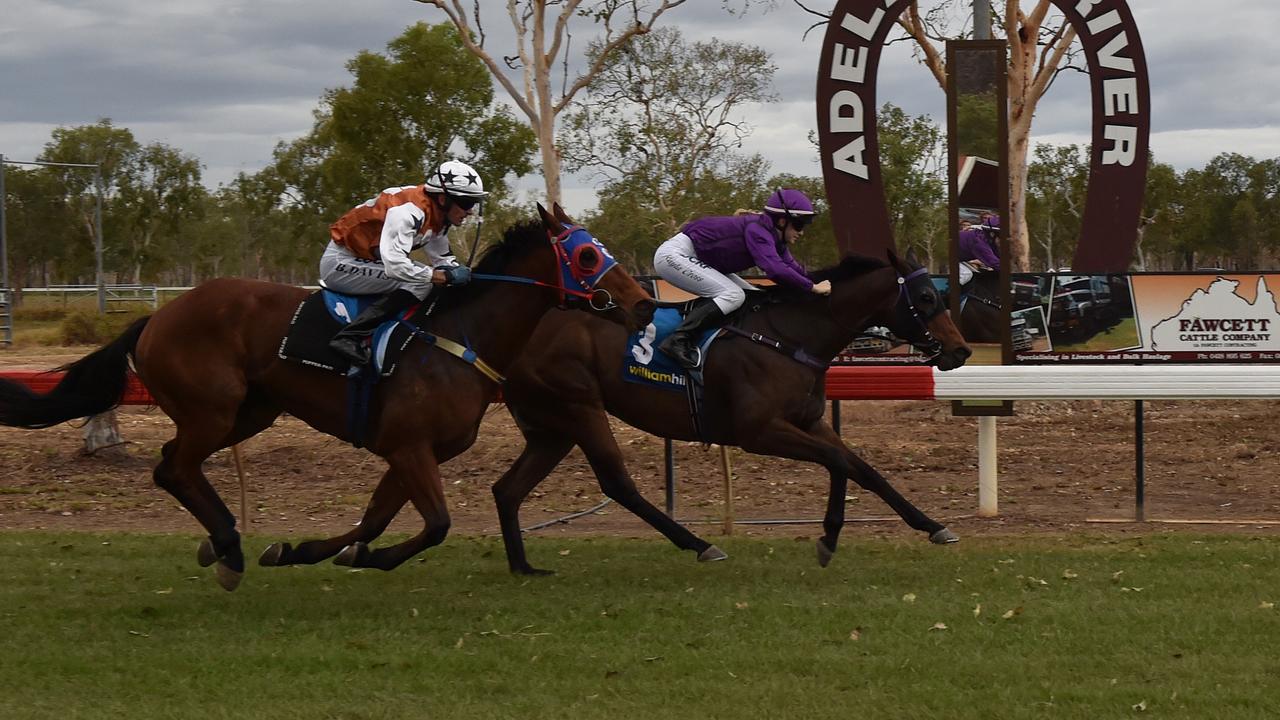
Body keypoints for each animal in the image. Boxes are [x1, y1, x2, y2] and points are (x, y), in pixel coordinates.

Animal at [0, 203, 650, 589]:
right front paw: (361, 557)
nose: (642, 303)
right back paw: (229, 547)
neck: (459, 336)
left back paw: (223, 546)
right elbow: (435, 525)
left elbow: (374, 519)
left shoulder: (413, 451)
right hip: (212, 411)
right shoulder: (408, 447)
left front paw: (307, 551)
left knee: (171, 466)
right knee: (175, 468)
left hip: (251, 412)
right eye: (587, 255)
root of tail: (155, 318)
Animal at [282, 249, 967, 568]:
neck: (787, 333)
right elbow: (839, 465)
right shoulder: (759, 430)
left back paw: (521, 563)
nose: (961, 351)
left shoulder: (806, 420)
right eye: (929, 297)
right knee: (617, 482)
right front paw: (827, 537)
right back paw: (697, 544)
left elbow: (861, 467)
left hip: (549, 425)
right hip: (578, 405)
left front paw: (931, 525)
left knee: (508, 489)